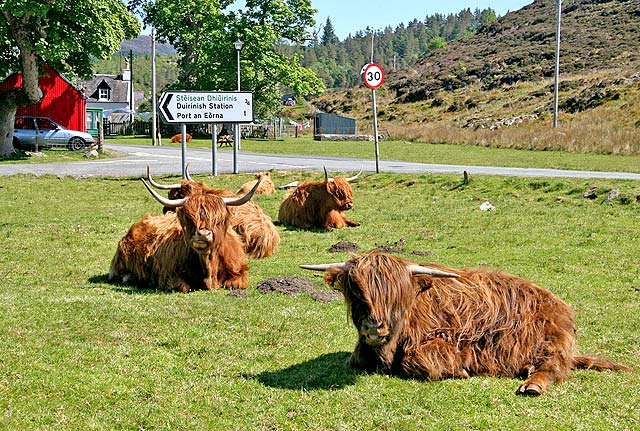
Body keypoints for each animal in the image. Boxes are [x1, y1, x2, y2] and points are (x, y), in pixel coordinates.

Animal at [302, 250, 632, 394]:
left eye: (397, 294)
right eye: (356, 290)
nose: (374, 327)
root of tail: (556, 301)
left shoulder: (457, 342)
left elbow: (417, 360)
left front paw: (459, 371)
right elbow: (355, 359)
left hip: (552, 344)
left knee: (550, 368)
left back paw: (532, 386)